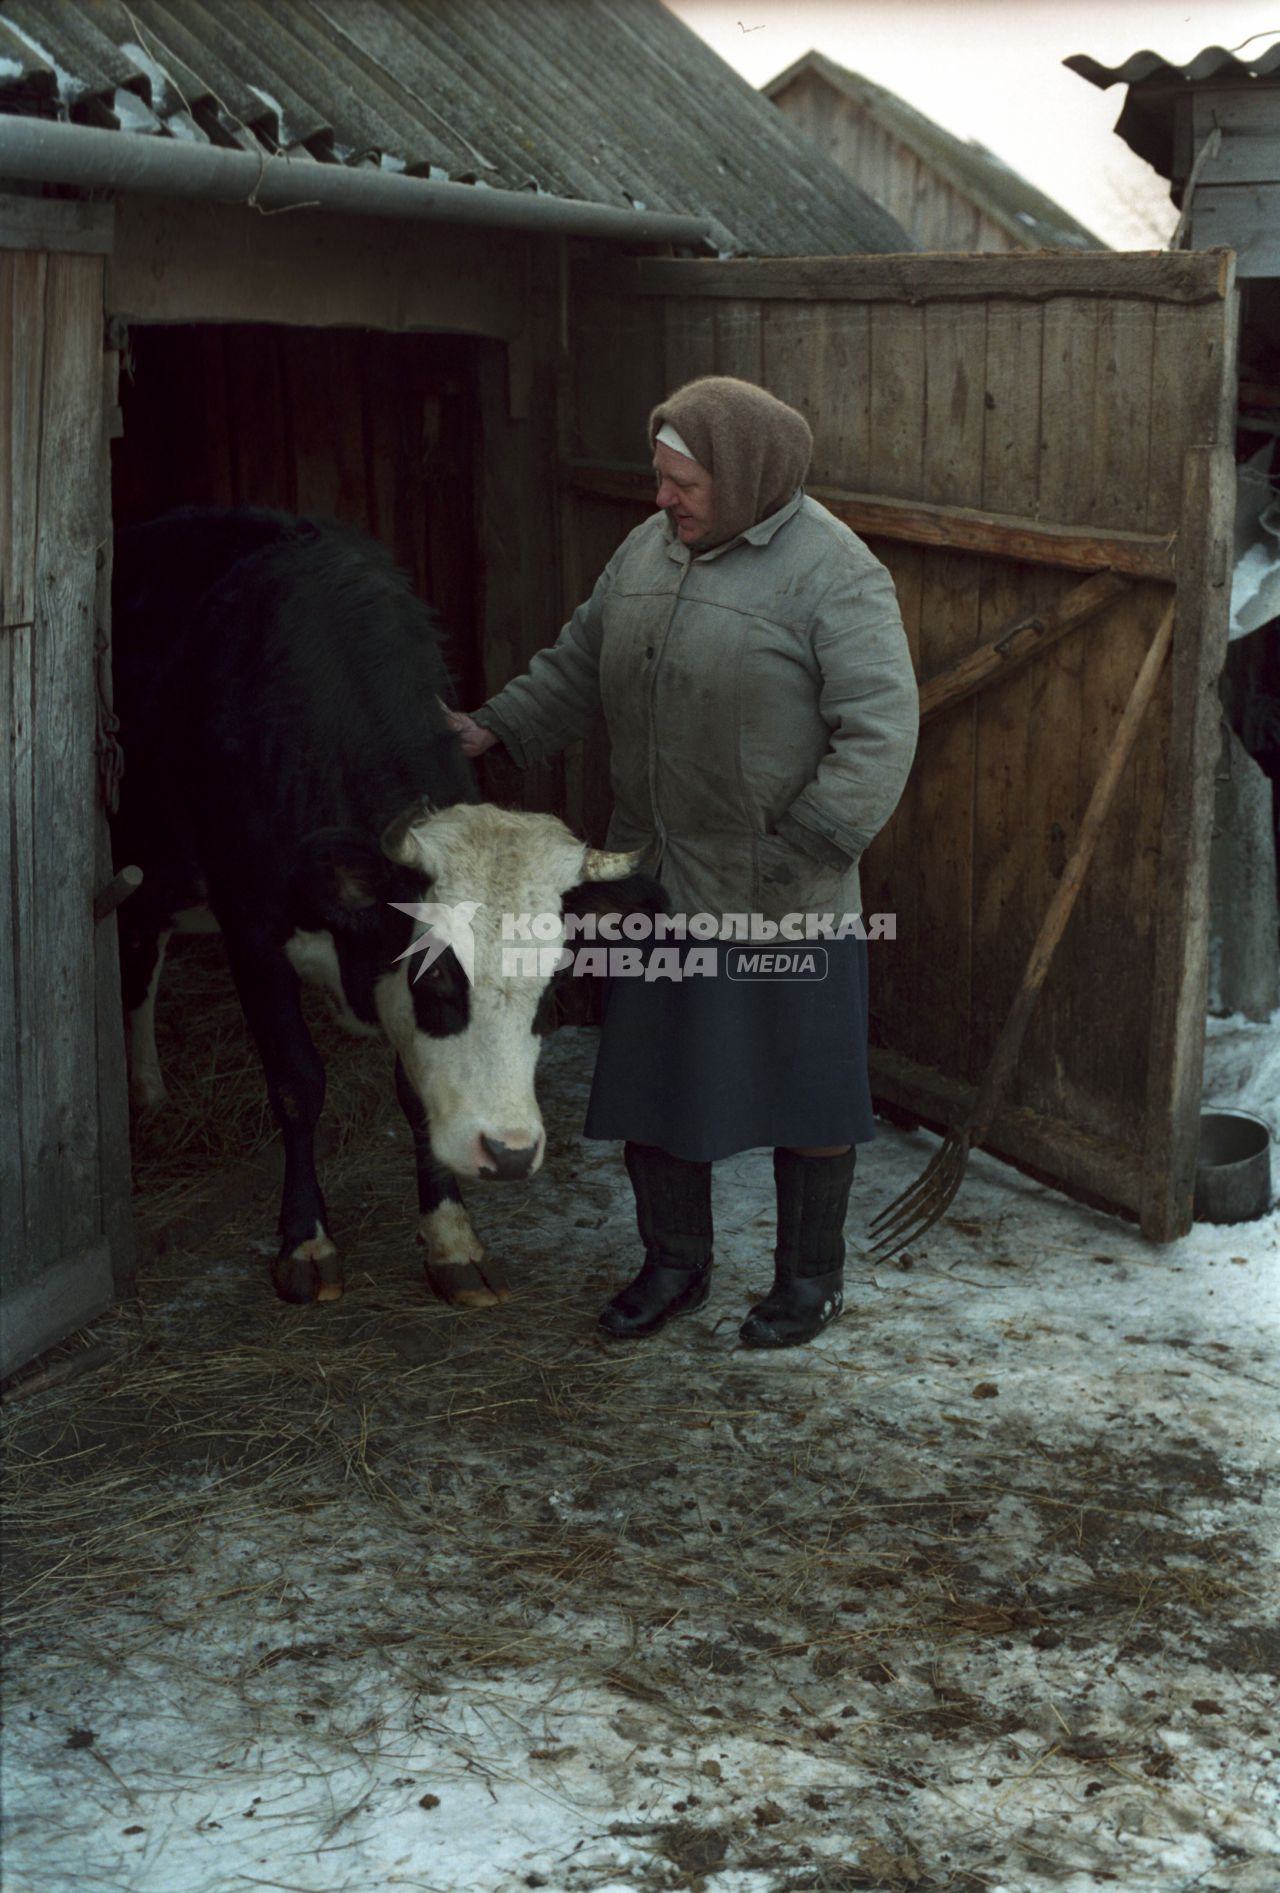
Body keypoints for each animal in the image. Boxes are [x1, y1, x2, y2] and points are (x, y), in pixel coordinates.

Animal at [107, 511, 651, 1309]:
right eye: (441, 979)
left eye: (553, 990)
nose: (510, 1153)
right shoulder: (252, 931)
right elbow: (298, 1085)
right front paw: (305, 1240)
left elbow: (415, 1092)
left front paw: (452, 1238)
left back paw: (146, 1090)